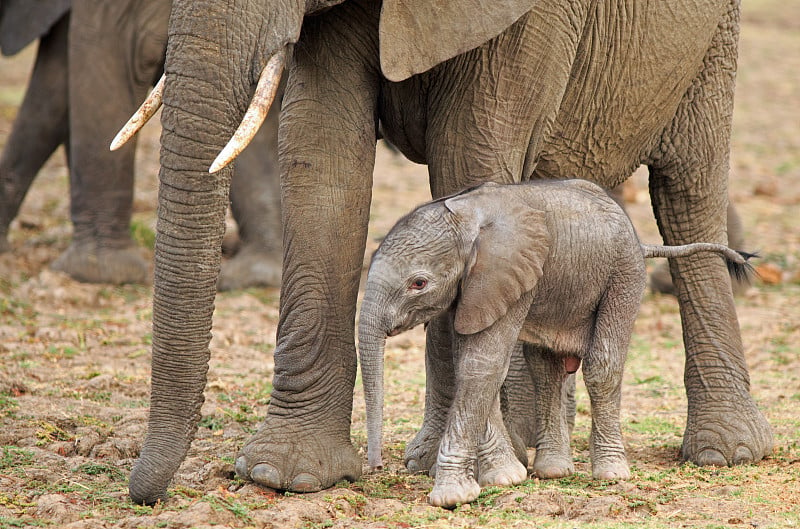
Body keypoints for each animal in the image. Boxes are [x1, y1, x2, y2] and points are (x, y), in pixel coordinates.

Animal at [360, 179, 752, 510]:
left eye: (419, 283)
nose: (376, 467)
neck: (465, 216)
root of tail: (640, 241)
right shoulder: (474, 291)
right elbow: (474, 364)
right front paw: (506, 477)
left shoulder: (505, 277)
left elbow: (483, 363)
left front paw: (452, 496)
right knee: (545, 370)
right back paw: (553, 471)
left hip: (623, 275)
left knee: (602, 365)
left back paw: (611, 473)